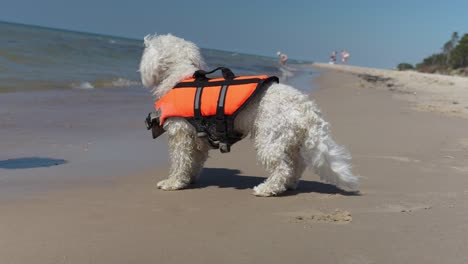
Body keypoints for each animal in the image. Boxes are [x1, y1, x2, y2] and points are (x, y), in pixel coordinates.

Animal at [139, 34, 358, 196]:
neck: (181, 77)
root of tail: (307, 109)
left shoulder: (181, 134)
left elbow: (180, 160)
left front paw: (173, 182)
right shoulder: (198, 139)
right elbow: (194, 161)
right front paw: (188, 179)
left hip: (269, 139)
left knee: (282, 167)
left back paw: (267, 188)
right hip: (288, 140)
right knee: (296, 164)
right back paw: (288, 185)